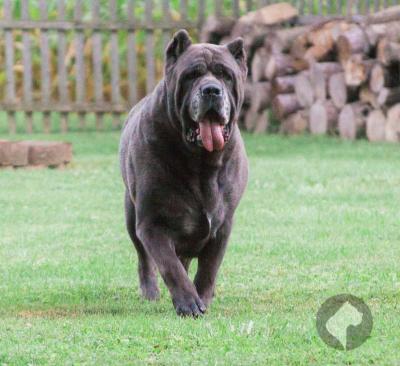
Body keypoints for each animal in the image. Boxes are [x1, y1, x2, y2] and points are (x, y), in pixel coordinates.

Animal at [120, 30, 248, 316]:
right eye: (191, 75)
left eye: (226, 75)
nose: (211, 89)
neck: (202, 162)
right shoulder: (152, 223)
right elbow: (170, 266)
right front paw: (189, 303)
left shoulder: (223, 226)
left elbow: (209, 268)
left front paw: (203, 297)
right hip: (131, 217)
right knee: (145, 259)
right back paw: (151, 291)